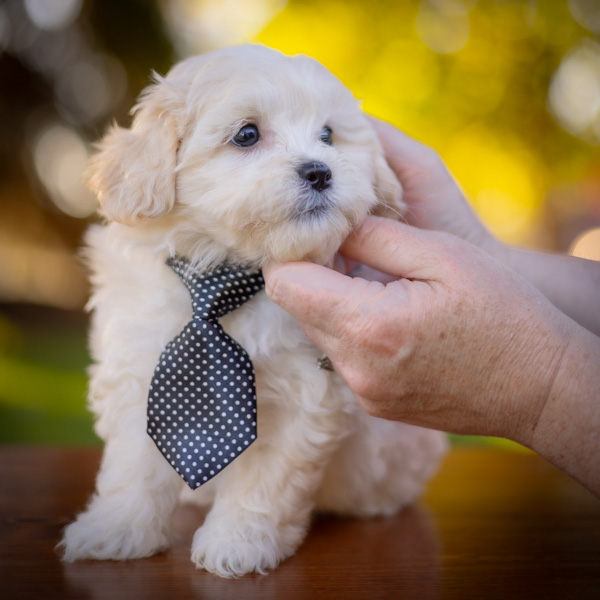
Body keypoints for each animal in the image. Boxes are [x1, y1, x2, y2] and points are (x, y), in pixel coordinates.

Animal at [59, 43, 446, 576]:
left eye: (328, 135)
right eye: (247, 134)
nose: (320, 170)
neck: (226, 275)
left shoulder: (306, 393)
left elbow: (265, 479)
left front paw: (237, 543)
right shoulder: (140, 368)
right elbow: (134, 464)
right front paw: (117, 530)